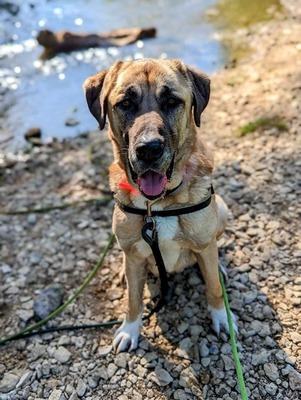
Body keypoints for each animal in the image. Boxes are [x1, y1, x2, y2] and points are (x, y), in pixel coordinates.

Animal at [82, 57, 237, 352]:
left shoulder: (204, 245)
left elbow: (212, 287)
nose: (149, 149)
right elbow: (133, 300)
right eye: (125, 103)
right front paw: (130, 329)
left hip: (221, 210)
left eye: (172, 101)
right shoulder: (134, 255)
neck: (159, 205)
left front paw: (222, 318)